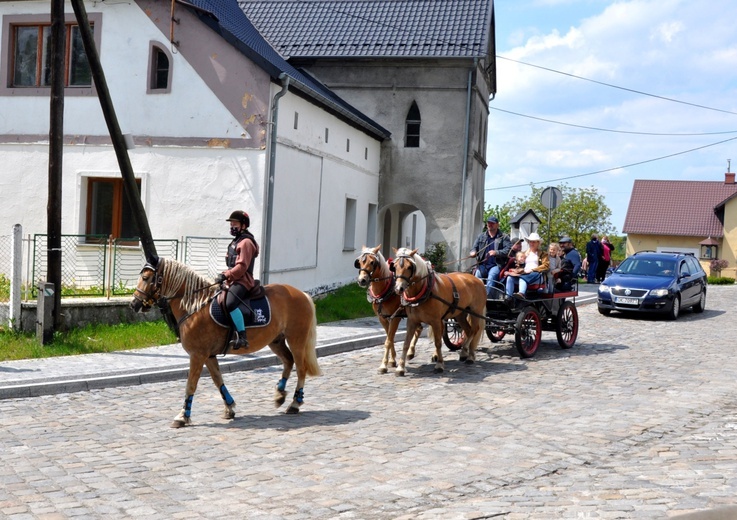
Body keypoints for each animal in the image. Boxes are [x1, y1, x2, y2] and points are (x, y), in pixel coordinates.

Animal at [130, 258, 320, 428]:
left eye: (146, 278)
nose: (133, 304)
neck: (195, 306)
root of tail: (302, 294)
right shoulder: (208, 355)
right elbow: (217, 379)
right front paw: (229, 407)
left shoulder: (197, 355)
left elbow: (191, 385)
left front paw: (183, 416)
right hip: (276, 340)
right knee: (288, 361)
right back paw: (280, 395)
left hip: (297, 339)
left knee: (300, 368)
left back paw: (295, 403)